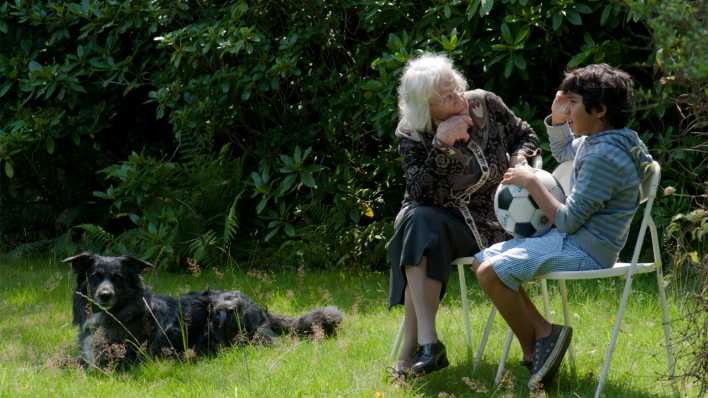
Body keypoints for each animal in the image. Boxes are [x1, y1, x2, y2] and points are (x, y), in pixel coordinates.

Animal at [64, 253, 342, 368]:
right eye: (95, 276)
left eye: (118, 278)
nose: (104, 295)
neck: (117, 313)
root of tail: (260, 310)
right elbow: (66, 359)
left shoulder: (118, 361)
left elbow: (75, 365)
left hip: (225, 309)